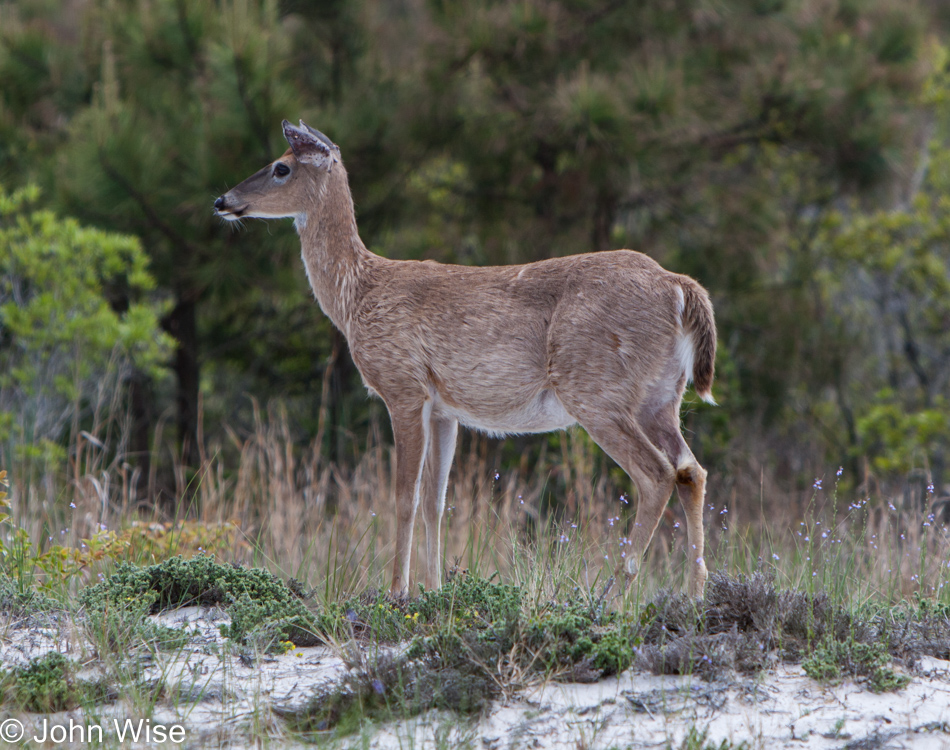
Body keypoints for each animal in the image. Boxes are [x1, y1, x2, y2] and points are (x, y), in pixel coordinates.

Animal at [216, 119, 716, 600]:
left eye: (281, 167)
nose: (223, 200)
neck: (357, 294)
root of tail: (678, 286)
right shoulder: (444, 409)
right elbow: (436, 501)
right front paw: (434, 589)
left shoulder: (403, 385)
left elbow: (404, 496)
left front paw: (396, 591)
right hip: (660, 396)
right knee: (691, 469)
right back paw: (694, 593)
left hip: (594, 387)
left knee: (656, 474)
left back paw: (615, 595)